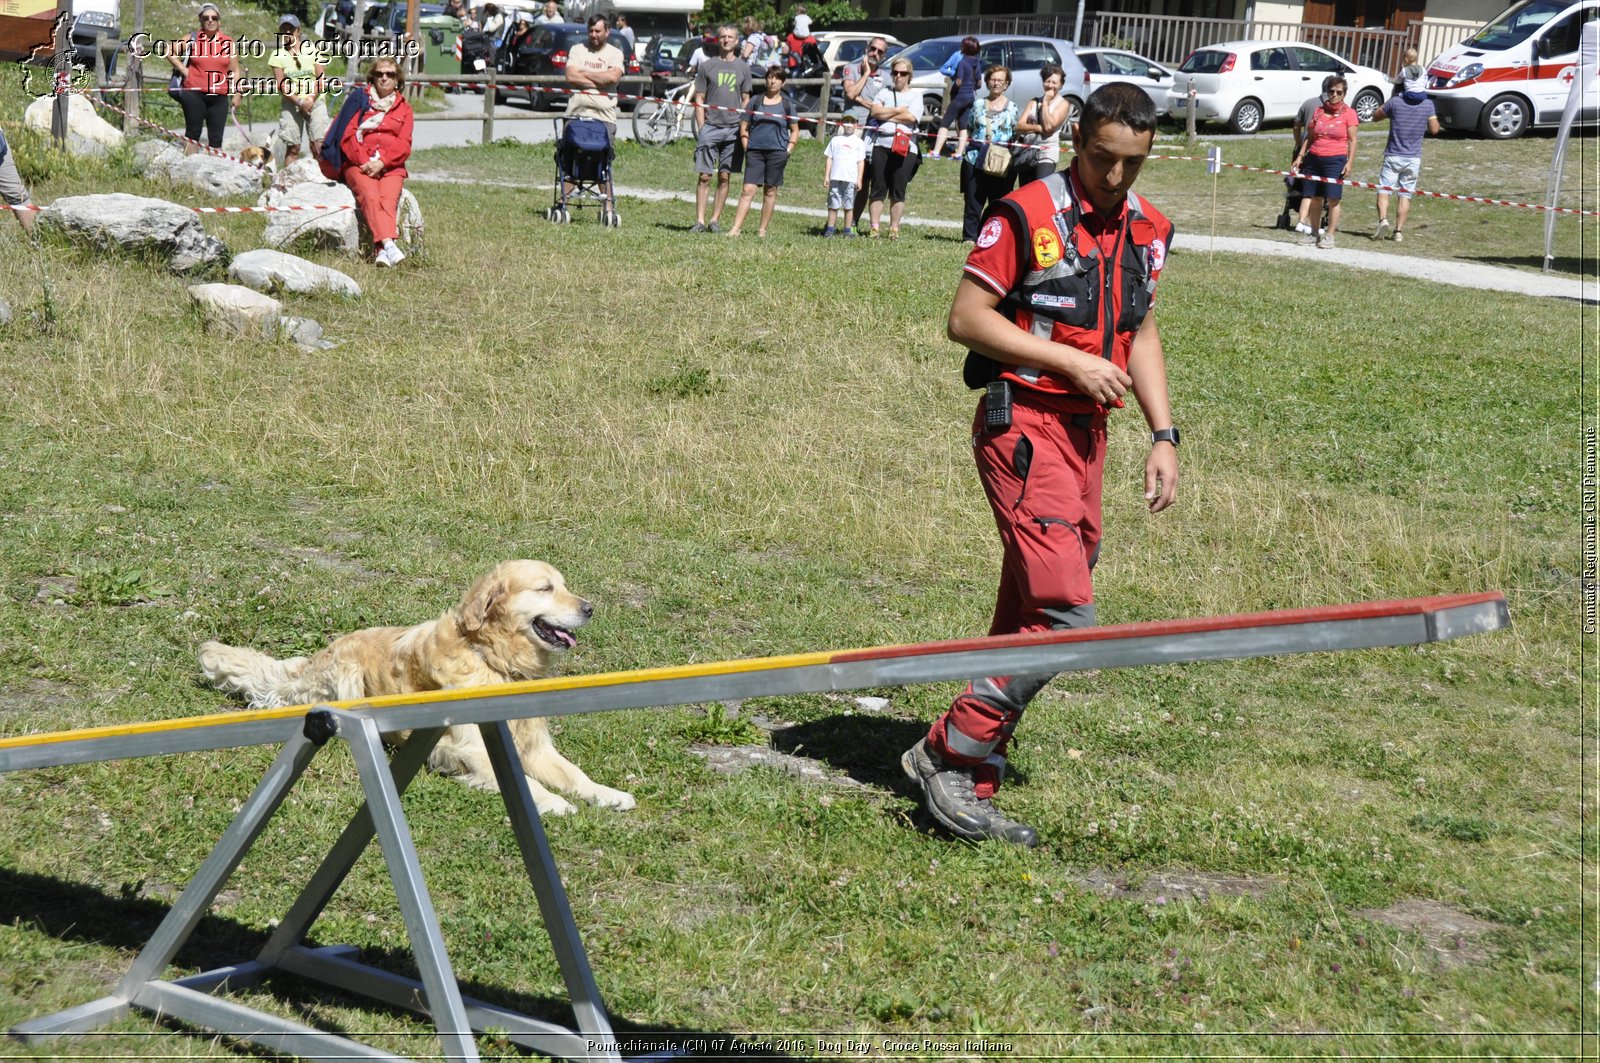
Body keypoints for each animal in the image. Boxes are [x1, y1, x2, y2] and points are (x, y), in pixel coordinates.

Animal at [203, 560, 640, 816]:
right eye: (545, 588)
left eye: (564, 585)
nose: (590, 608)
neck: (495, 662)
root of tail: (320, 654)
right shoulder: (473, 750)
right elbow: (530, 785)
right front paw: (552, 801)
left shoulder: (536, 747)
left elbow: (576, 774)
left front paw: (608, 793)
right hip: (345, 675)